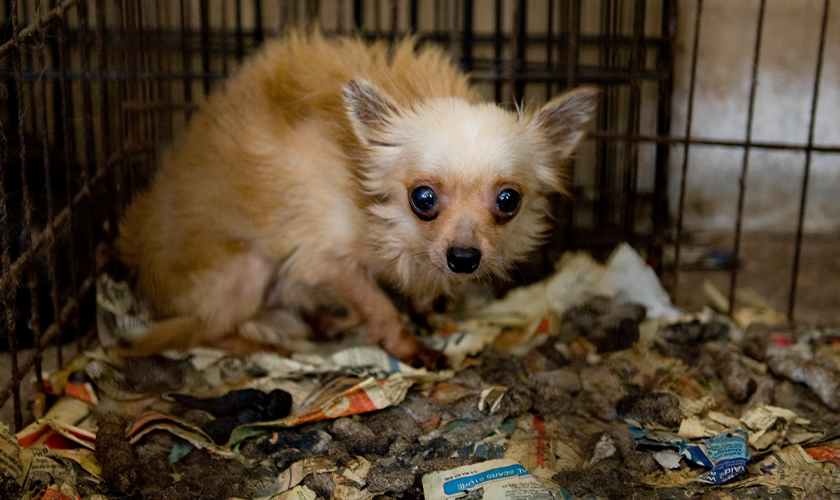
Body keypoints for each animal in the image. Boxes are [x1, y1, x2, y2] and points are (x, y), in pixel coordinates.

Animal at [116, 32, 596, 368]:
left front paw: (425, 313)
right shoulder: (321, 259)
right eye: (423, 198)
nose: (463, 258)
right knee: (202, 332)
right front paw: (406, 344)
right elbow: (377, 303)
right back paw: (259, 346)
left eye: (508, 200)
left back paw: (323, 321)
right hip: (249, 269)